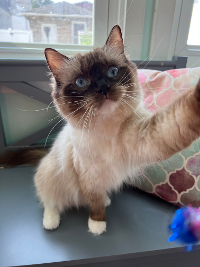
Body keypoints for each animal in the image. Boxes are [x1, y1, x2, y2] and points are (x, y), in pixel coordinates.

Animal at [1, 24, 200, 237]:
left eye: (112, 71)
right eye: (81, 82)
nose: (104, 88)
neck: (106, 126)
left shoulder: (148, 138)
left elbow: (182, 114)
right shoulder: (89, 177)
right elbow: (94, 204)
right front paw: (97, 225)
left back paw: (106, 199)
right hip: (50, 175)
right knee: (50, 202)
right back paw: (51, 222)